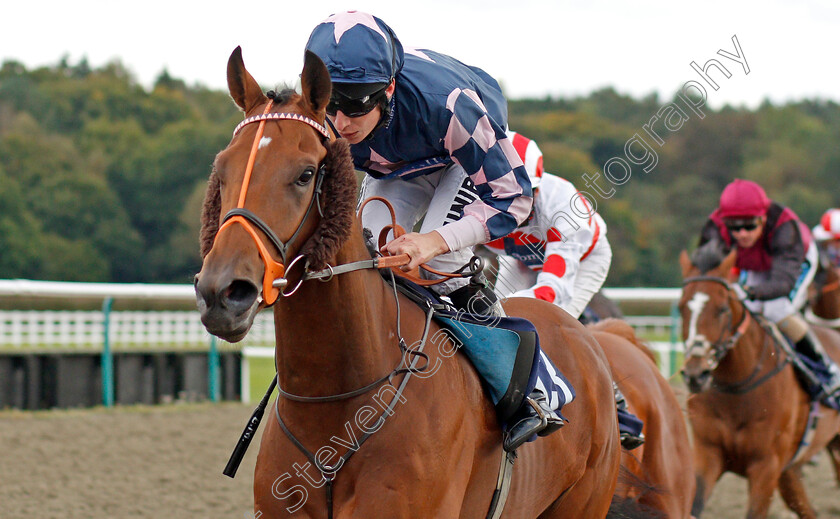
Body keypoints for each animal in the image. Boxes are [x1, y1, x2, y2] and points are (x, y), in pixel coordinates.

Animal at [194, 47, 620, 516]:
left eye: (305, 174)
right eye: (222, 170)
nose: (223, 292)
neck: (335, 402)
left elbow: (509, 196)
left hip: (586, 499)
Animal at [676, 250, 840, 516]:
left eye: (722, 309)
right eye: (681, 308)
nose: (695, 374)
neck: (737, 389)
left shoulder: (766, 467)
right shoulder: (708, 454)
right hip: (791, 471)